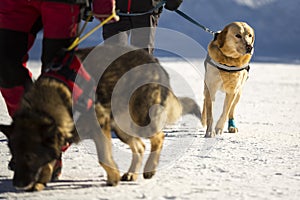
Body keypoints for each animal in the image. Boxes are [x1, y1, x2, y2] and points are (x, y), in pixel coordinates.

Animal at [0, 44, 202, 191]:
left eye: (30, 156)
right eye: (14, 155)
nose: (17, 184)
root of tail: (153, 60)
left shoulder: (99, 127)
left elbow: (103, 156)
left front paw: (113, 178)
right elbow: (51, 158)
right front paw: (41, 181)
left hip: (138, 119)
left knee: (158, 137)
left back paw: (149, 168)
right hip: (121, 126)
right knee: (140, 146)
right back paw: (132, 173)